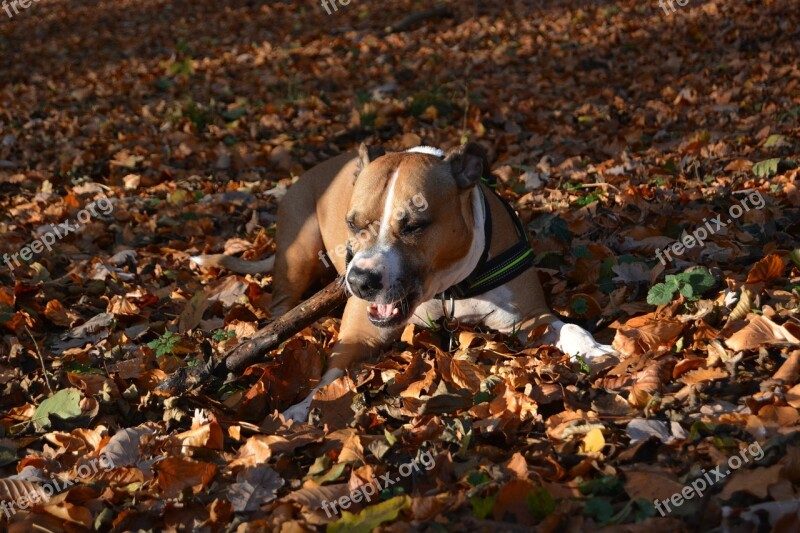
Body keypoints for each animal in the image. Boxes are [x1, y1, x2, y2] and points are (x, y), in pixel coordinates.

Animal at [191, 142, 616, 420]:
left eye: (414, 225)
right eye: (352, 223)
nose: (360, 281)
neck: (446, 290)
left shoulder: (531, 318)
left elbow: (569, 327)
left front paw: (593, 349)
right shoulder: (358, 334)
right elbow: (329, 379)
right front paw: (301, 409)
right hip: (297, 252)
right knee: (282, 302)